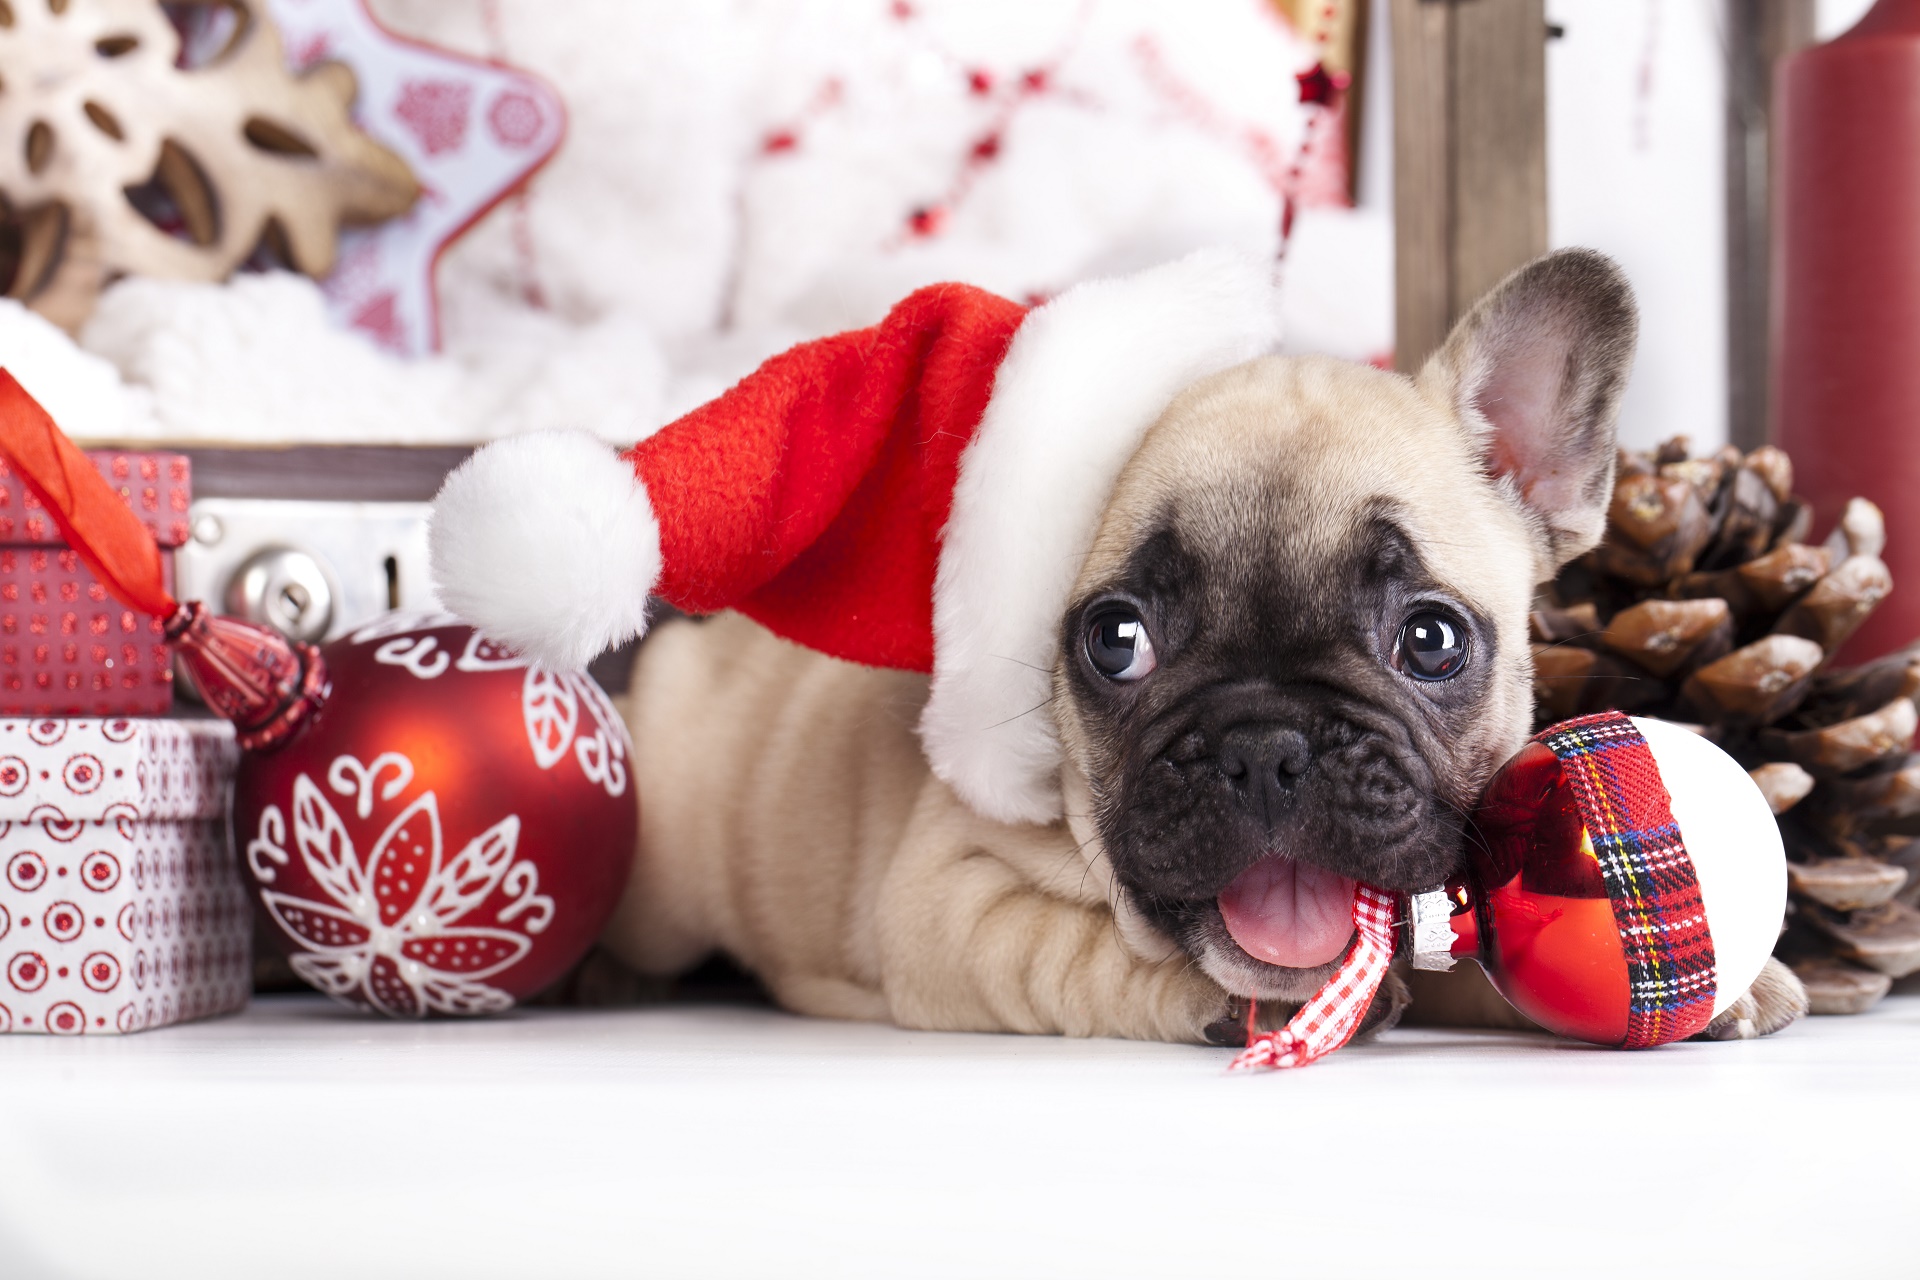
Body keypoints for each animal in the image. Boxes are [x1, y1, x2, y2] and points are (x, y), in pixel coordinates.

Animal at [595, 247, 1797, 1043]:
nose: (1267, 744)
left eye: (1431, 639)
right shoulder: (947, 901)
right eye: (1116, 639)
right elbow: (1071, 952)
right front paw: (1236, 996)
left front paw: (1741, 981)